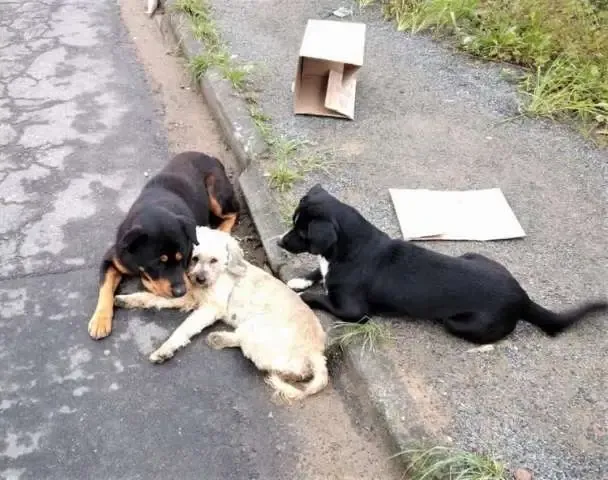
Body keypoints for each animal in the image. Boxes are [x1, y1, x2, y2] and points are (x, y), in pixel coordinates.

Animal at [88, 152, 240, 340]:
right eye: (158, 262)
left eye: (186, 258)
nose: (181, 292)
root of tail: (212, 158)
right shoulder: (113, 258)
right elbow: (105, 287)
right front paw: (100, 321)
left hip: (216, 194)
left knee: (234, 212)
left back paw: (222, 230)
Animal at [116, 227, 330, 404]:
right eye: (194, 258)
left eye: (214, 260)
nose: (200, 279)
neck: (219, 274)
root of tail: (316, 352)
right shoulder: (191, 297)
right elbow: (153, 297)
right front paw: (128, 299)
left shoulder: (210, 308)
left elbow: (183, 329)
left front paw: (165, 349)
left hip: (257, 331)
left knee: (279, 365)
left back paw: (219, 338)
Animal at [280, 185, 608, 344]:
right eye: (294, 223)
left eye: (302, 233)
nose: (279, 243)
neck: (350, 248)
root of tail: (521, 296)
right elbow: (318, 272)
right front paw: (300, 279)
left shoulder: (354, 312)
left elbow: (321, 297)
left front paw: (302, 294)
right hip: (474, 256)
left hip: (462, 323)